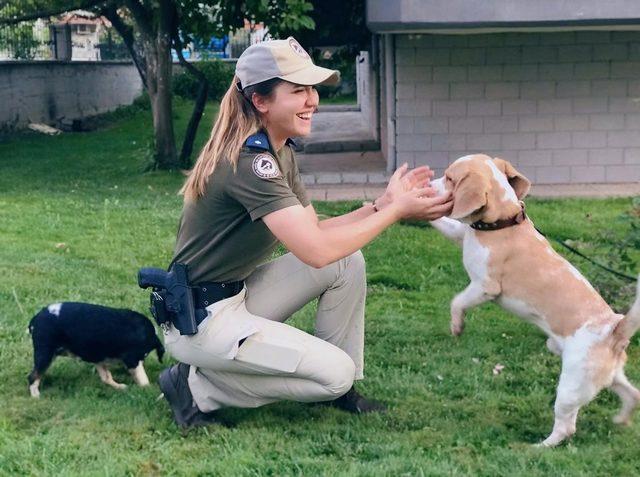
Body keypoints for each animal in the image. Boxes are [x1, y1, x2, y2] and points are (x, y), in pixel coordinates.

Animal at [27, 302, 164, 398]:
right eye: (144, 354)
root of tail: (35, 319)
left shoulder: (99, 357)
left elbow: (106, 376)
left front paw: (121, 387)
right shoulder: (132, 358)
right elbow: (143, 378)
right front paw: (149, 390)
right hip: (45, 353)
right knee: (32, 376)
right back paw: (36, 397)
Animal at [428, 153, 640, 446]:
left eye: (449, 178)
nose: (428, 183)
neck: (501, 222)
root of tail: (615, 330)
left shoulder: (484, 286)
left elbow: (457, 302)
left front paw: (457, 326)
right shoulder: (460, 235)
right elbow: (445, 225)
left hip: (571, 387)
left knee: (566, 427)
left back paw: (538, 446)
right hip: (609, 378)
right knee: (633, 395)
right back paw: (622, 419)